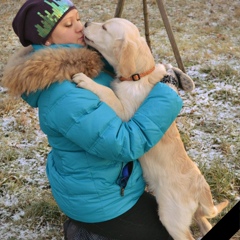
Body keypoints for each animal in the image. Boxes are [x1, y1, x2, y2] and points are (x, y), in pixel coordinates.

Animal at [72, 17, 229, 239]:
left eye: (104, 27)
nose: (85, 23)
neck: (138, 76)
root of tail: (200, 190)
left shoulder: (126, 116)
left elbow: (108, 93)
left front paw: (85, 80)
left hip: (171, 217)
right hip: (194, 214)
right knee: (205, 222)